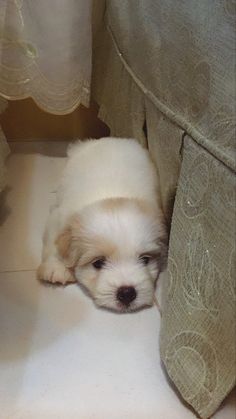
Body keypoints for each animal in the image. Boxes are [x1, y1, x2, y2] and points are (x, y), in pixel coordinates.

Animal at [37, 138, 167, 312]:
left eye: (145, 260)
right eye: (98, 263)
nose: (127, 293)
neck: (111, 197)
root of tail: (110, 139)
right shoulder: (57, 217)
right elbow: (53, 241)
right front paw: (56, 268)